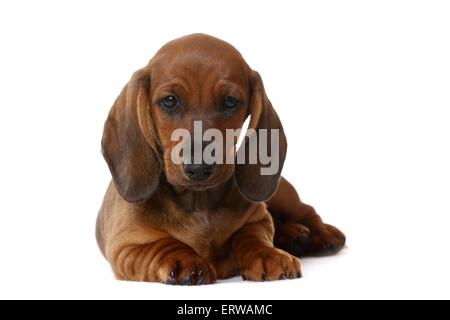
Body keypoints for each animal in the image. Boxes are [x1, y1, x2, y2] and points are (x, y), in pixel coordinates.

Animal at [96, 34, 346, 284]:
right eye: (169, 101)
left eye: (229, 101)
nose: (198, 168)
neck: (199, 202)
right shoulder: (125, 246)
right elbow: (162, 245)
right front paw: (185, 260)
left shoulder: (258, 220)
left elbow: (251, 236)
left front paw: (267, 254)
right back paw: (294, 235)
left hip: (282, 194)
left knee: (306, 210)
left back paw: (320, 234)